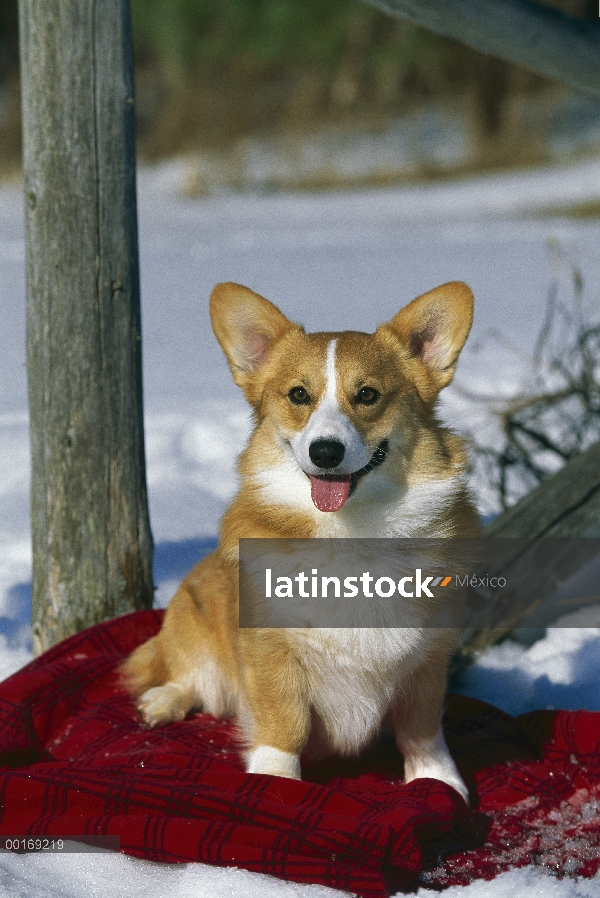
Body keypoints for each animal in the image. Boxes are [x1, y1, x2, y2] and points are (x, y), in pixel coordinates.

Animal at [120, 278, 478, 800]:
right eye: (298, 395)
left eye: (367, 394)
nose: (325, 452)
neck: (351, 530)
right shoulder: (272, 656)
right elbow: (284, 726)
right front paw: (276, 782)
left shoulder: (428, 661)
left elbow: (422, 731)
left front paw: (439, 781)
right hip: (192, 614)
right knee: (187, 673)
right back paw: (162, 701)